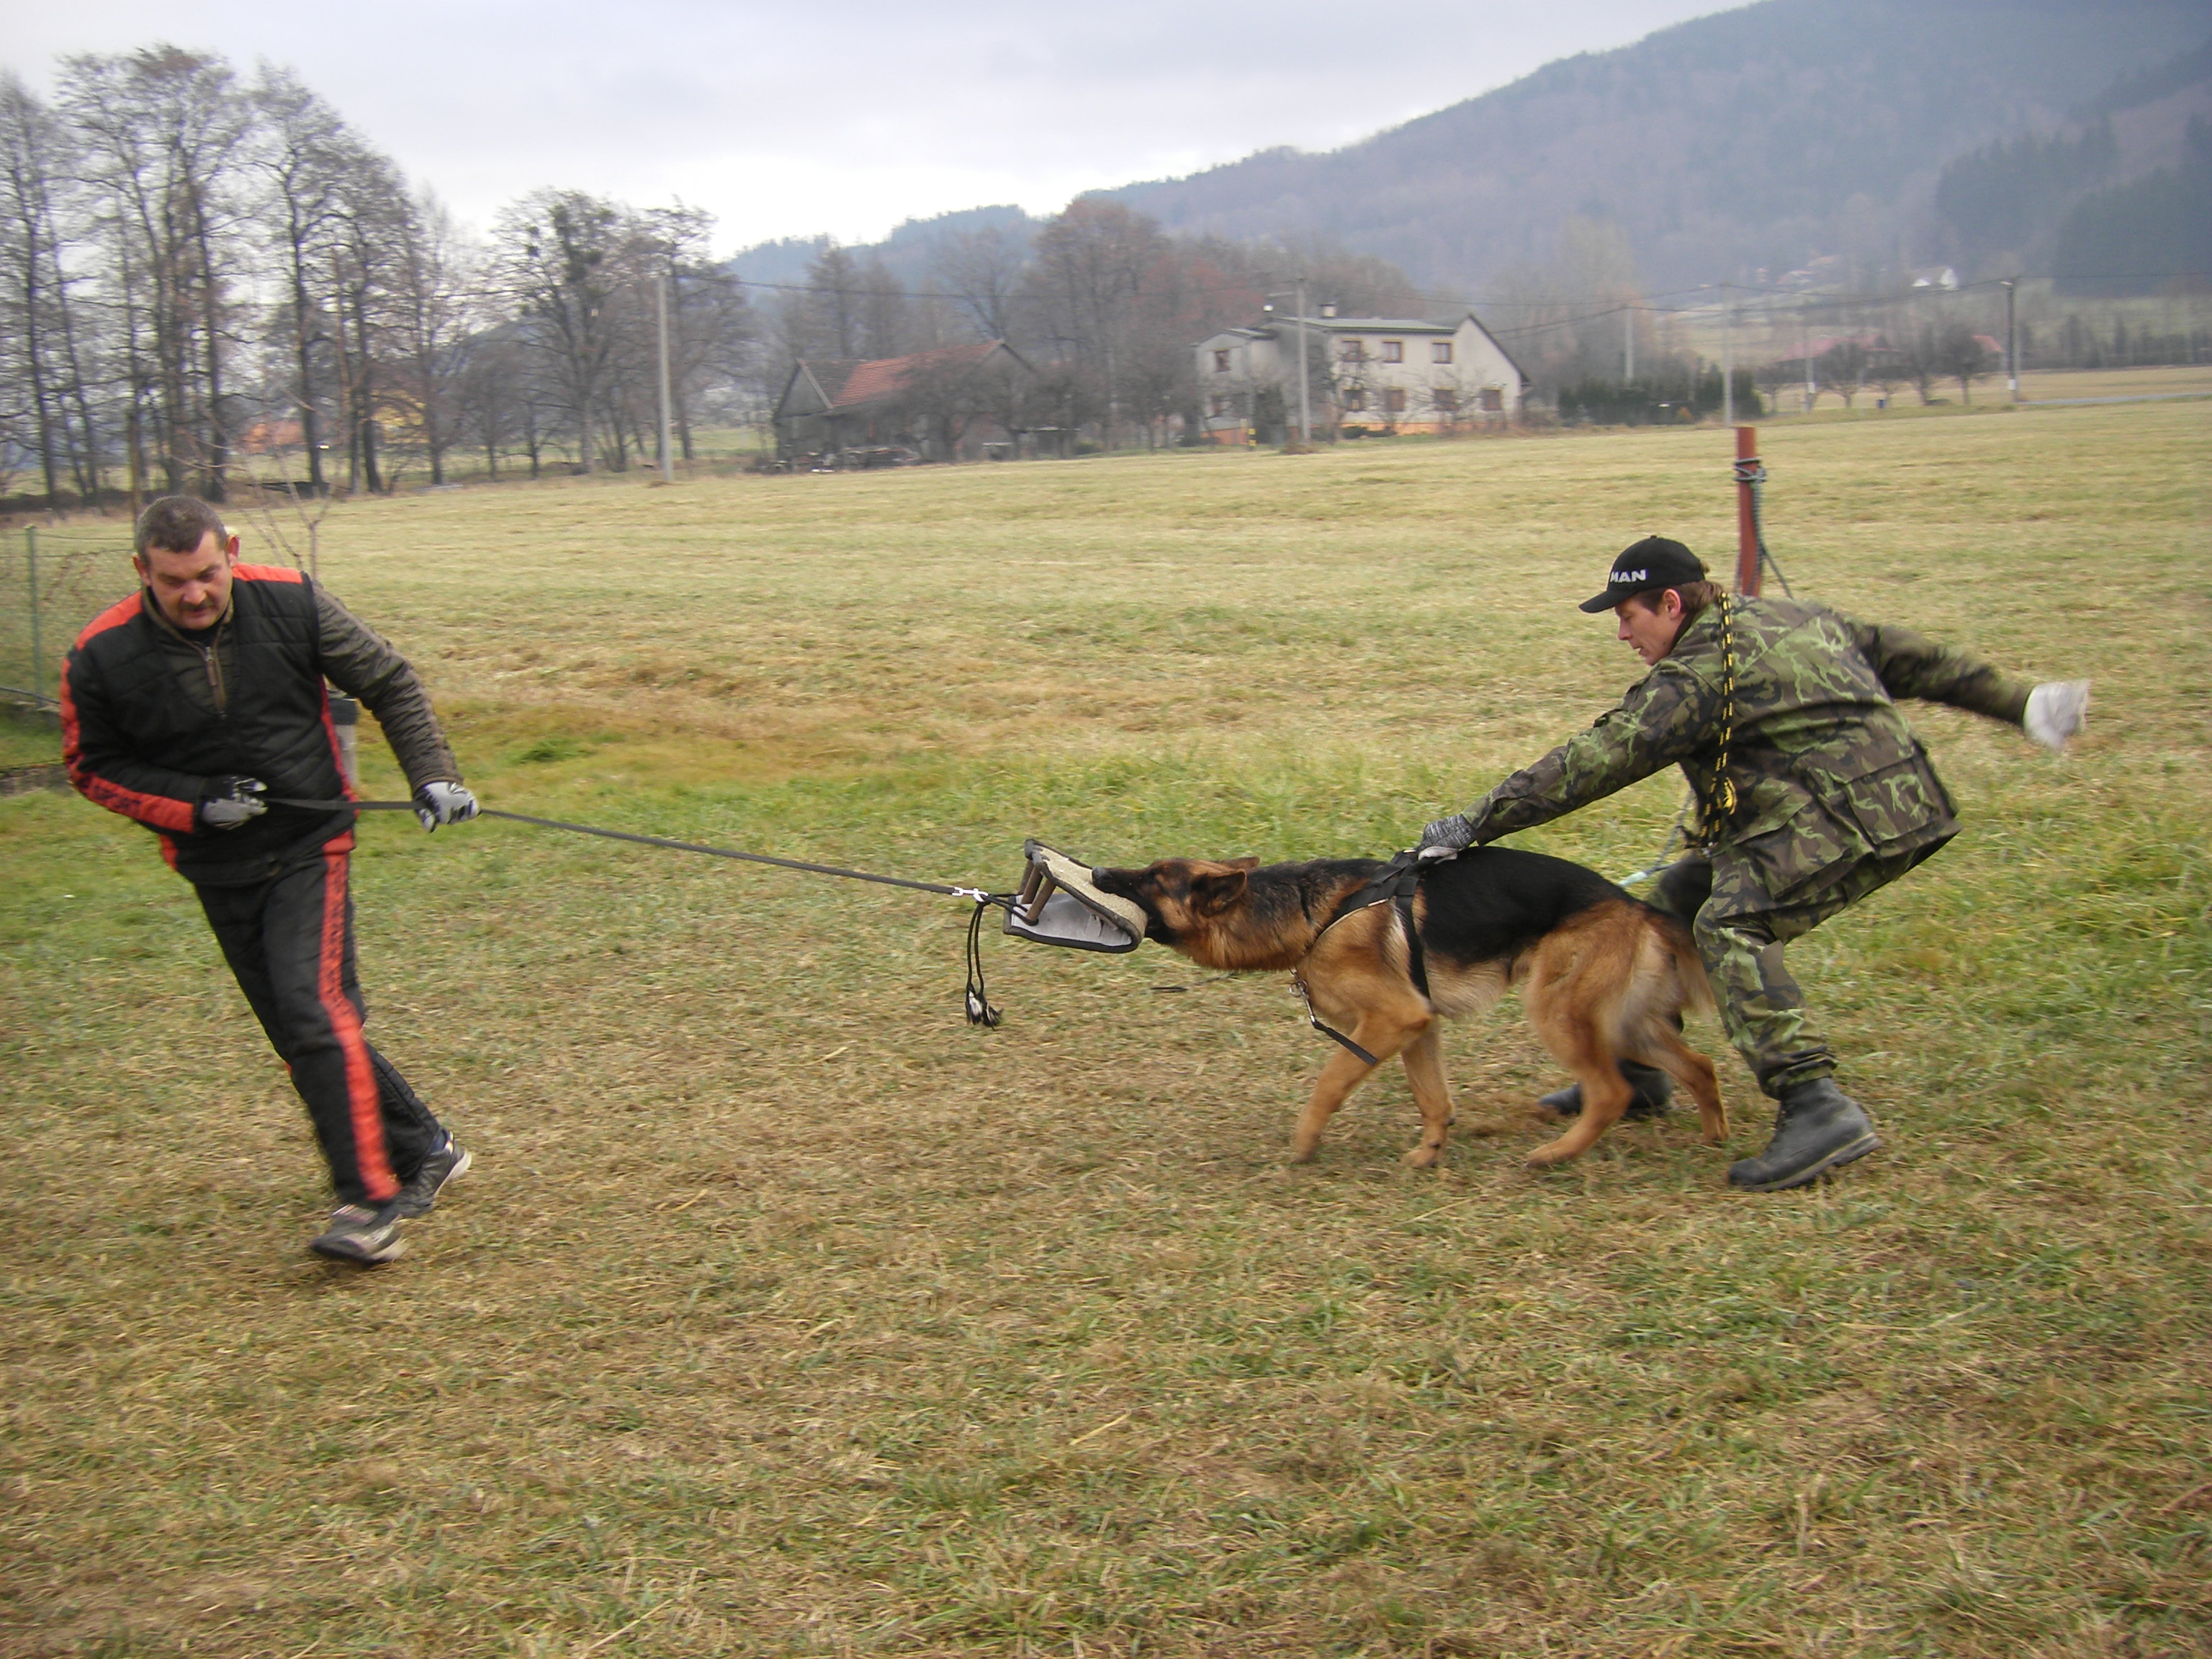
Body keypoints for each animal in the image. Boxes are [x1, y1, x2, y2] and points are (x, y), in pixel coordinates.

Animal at [1088, 858, 1725, 1168]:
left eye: (1151, 879)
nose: (1095, 873)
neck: (1307, 910)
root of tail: (1638, 907)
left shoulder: (1389, 1021)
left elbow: (1329, 1084)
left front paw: (1303, 1145)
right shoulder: (1418, 1026)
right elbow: (1434, 1099)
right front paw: (1430, 1152)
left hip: (1560, 1015)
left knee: (1612, 1092)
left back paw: (1555, 1155)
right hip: (1625, 1026)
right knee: (1699, 1066)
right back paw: (1714, 1140)